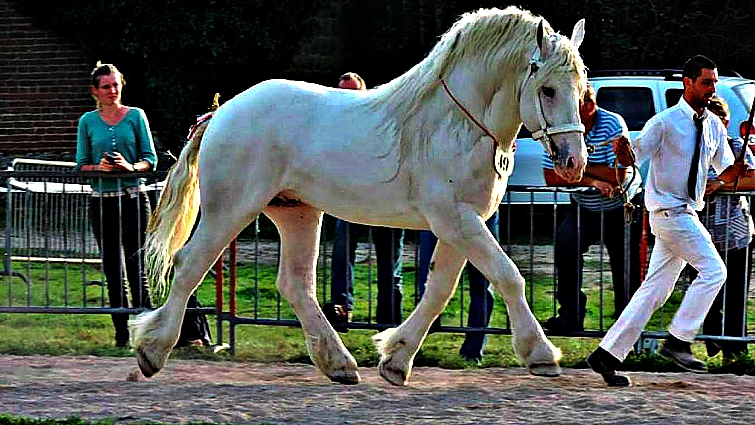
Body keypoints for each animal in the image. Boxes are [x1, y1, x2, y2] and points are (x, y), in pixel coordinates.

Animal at [131, 6, 588, 386]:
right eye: (547, 89)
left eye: (582, 90)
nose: (573, 161)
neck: (455, 123)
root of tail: (222, 112)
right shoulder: (455, 219)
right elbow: (508, 275)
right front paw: (541, 354)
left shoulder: (461, 223)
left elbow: (438, 290)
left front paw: (396, 360)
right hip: (230, 208)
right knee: (189, 264)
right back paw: (152, 351)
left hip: (297, 213)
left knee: (295, 284)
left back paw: (339, 364)